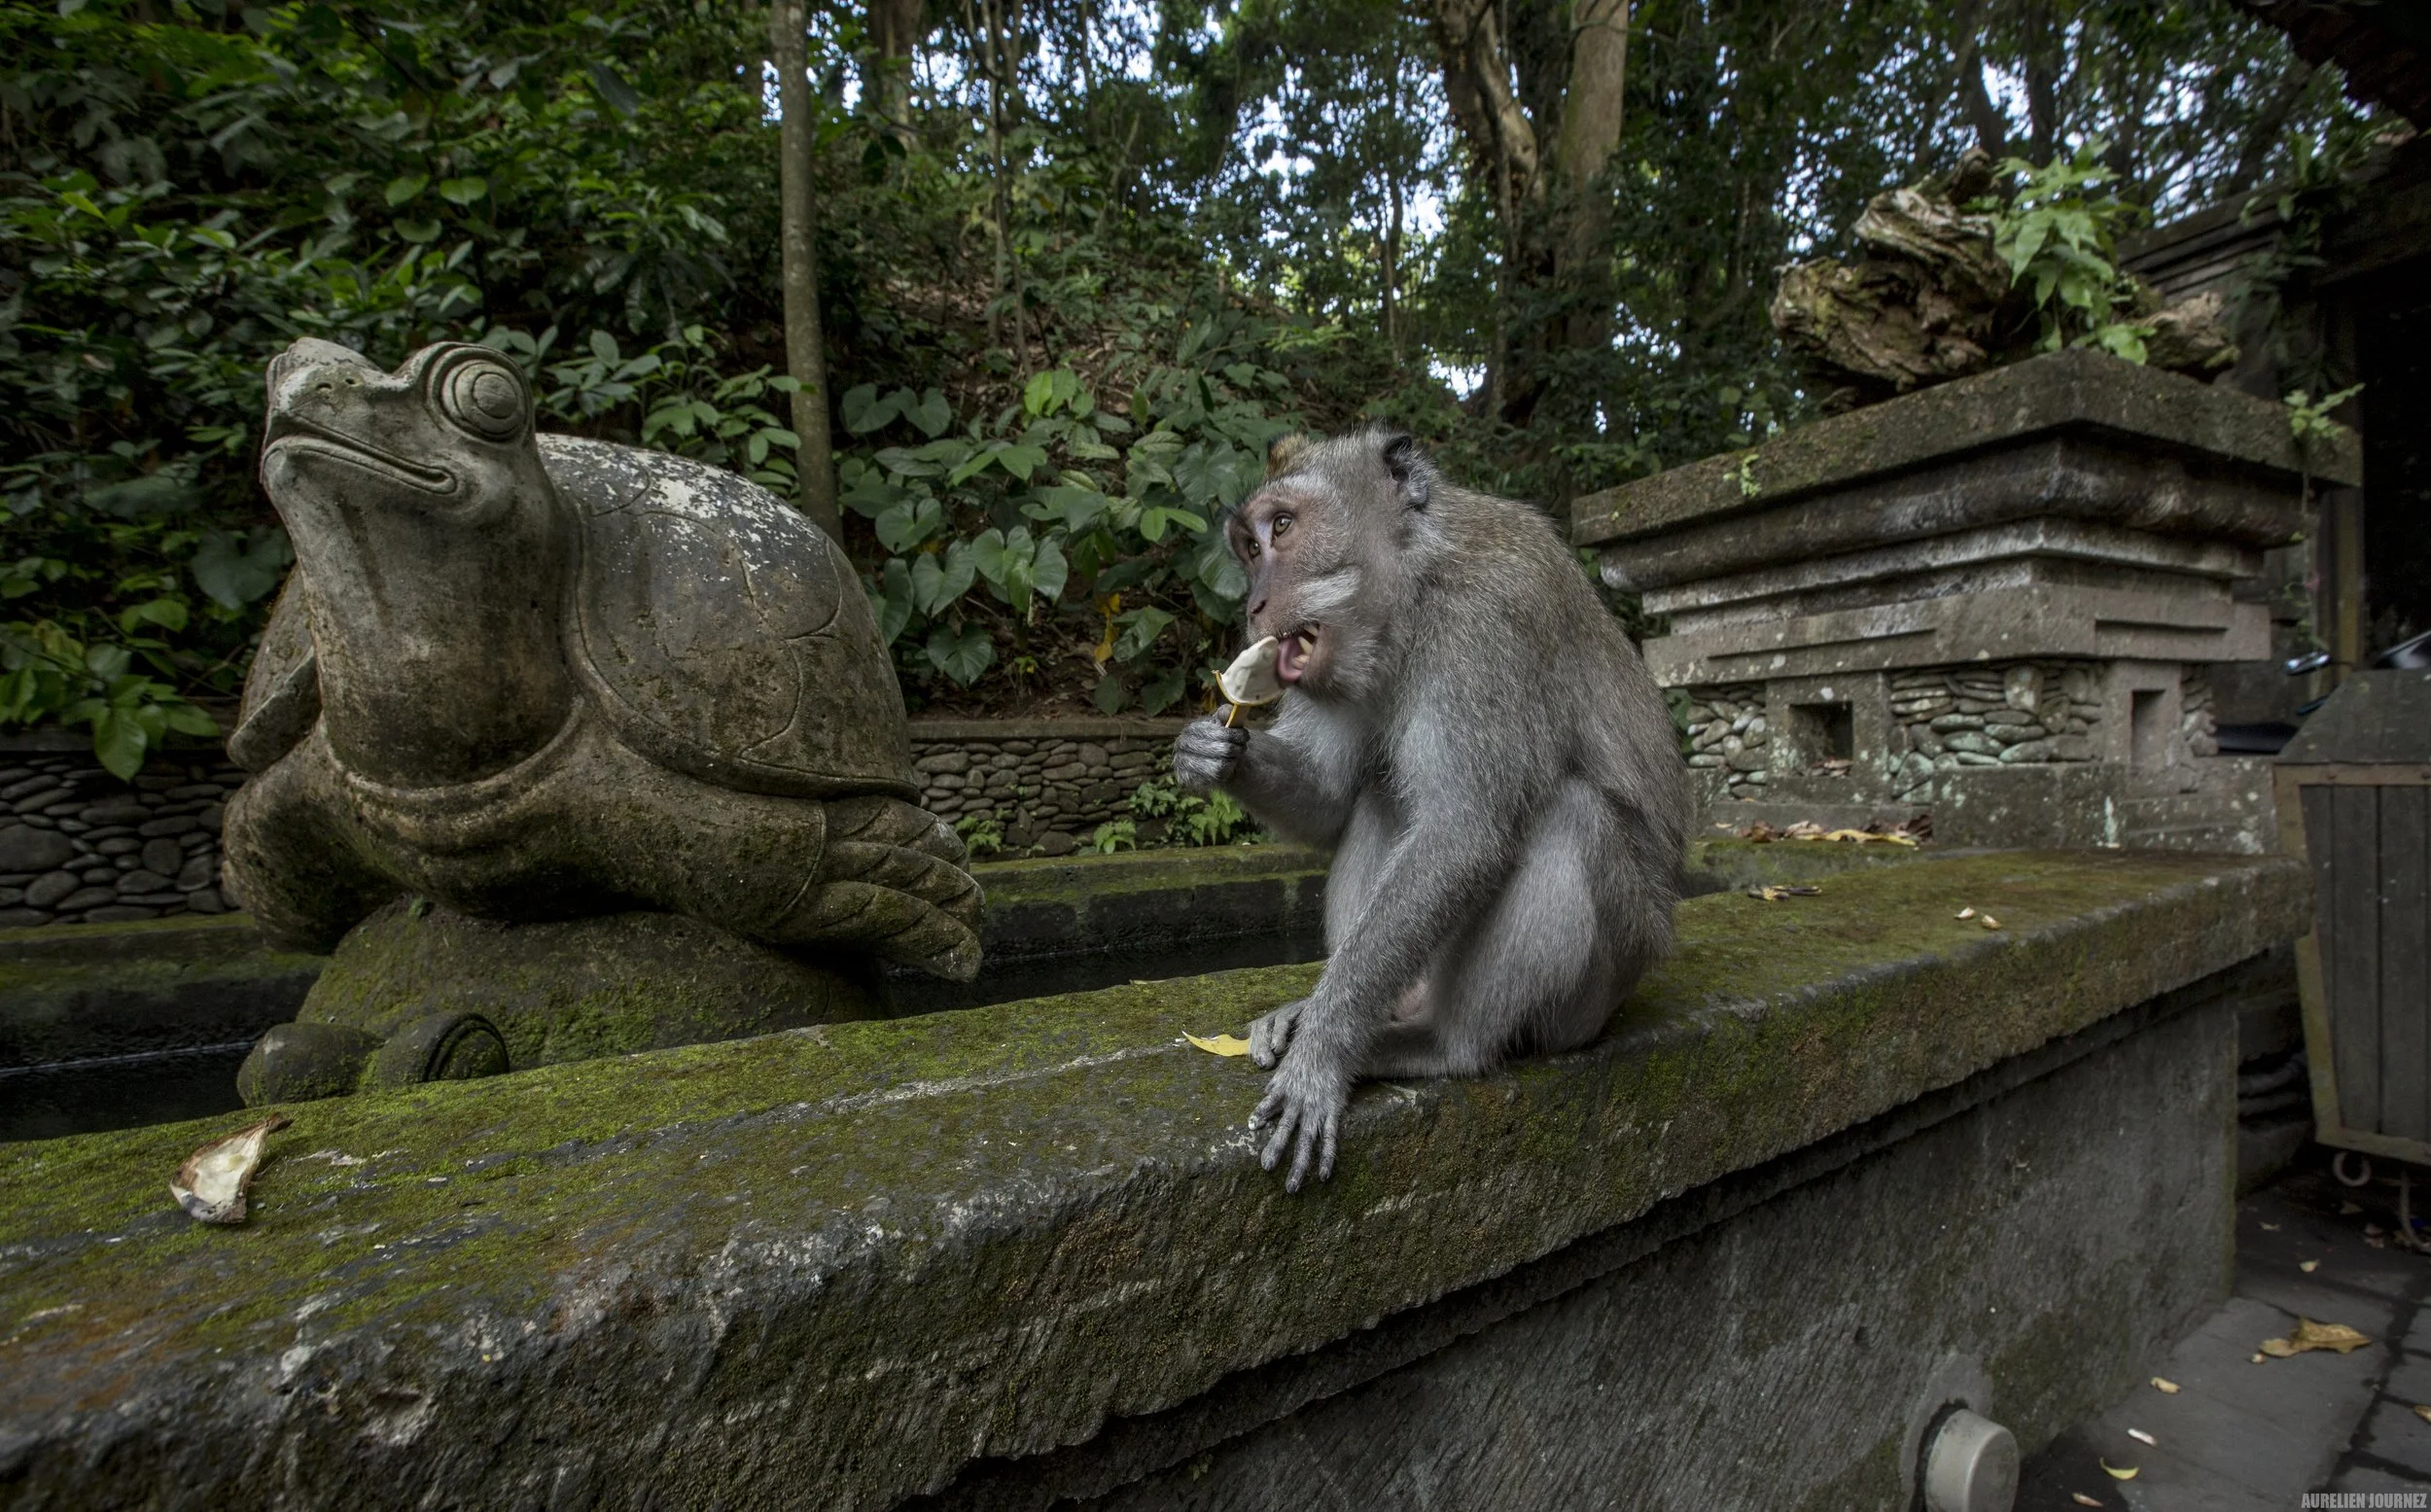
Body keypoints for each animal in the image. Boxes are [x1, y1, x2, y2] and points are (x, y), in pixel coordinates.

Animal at [1173, 429, 1692, 1192]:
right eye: (1247, 547)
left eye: (1284, 527)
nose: (1255, 604)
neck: (1415, 589)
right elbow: (1331, 795)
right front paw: (1210, 751)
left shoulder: (1488, 623)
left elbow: (1462, 834)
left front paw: (1323, 1052)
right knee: (1380, 794)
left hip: (1598, 991)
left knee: (1568, 816)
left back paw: (1441, 1043)